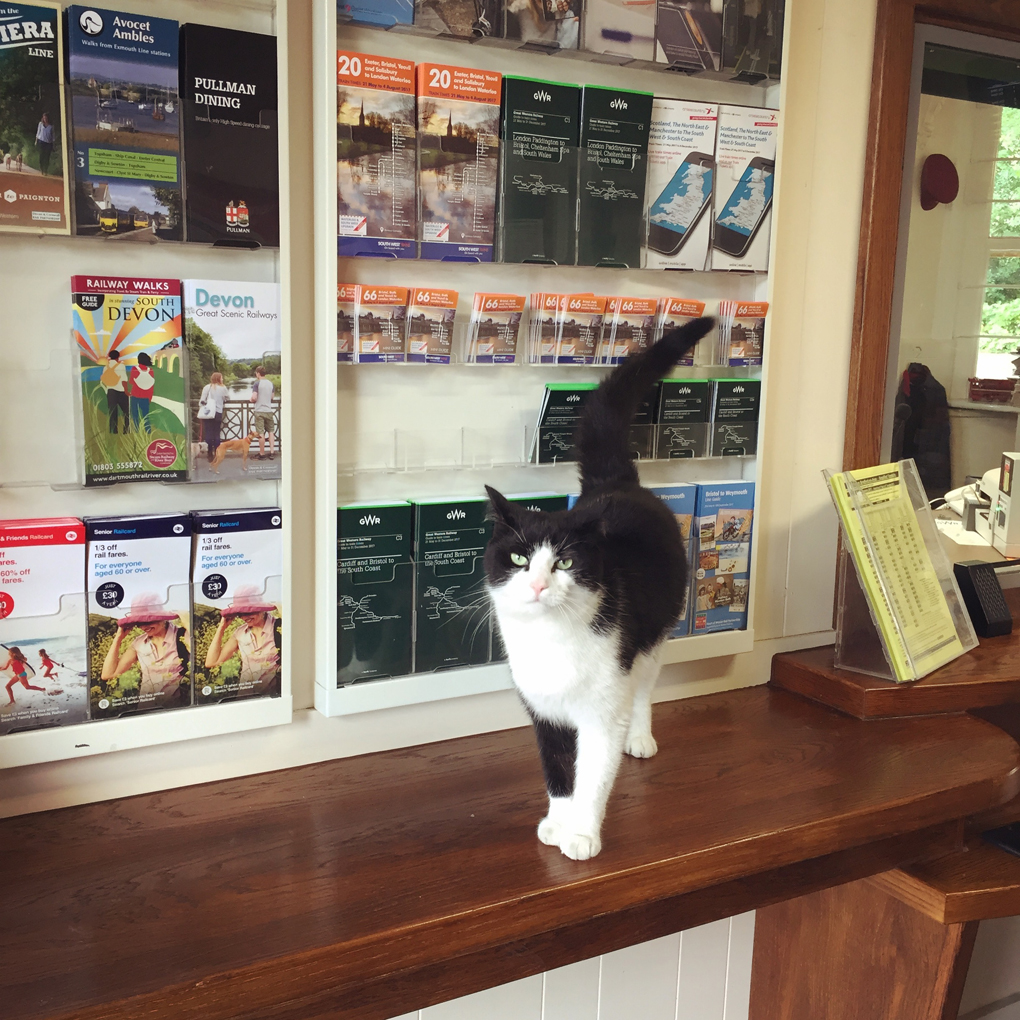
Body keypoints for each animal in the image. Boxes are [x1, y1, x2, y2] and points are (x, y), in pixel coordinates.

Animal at [485, 318, 718, 860]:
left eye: (565, 562)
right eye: (519, 559)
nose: (538, 584)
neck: (550, 642)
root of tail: (615, 483)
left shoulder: (601, 708)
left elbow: (592, 775)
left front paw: (583, 835)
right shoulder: (542, 710)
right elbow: (557, 772)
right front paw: (557, 822)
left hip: (651, 640)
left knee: (644, 689)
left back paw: (640, 737)